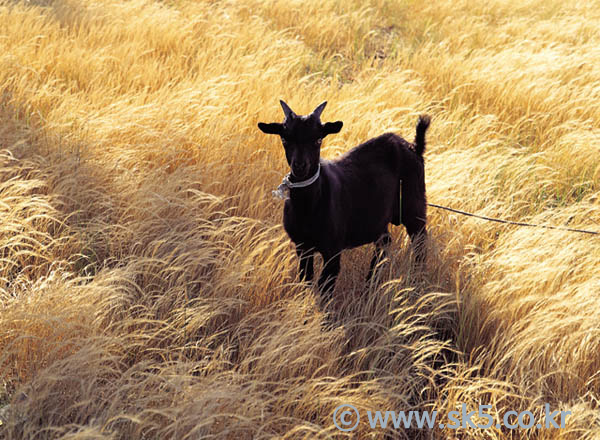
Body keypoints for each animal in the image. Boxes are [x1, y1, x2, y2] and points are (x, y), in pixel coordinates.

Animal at [258, 101, 432, 300]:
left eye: (318, 140)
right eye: (285, 139)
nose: (300, 166)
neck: (308, 206)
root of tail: (413, 147)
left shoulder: (333, 251)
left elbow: (324, 290)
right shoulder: (302, 246)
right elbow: (306, 280)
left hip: (414, 207)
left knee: (420, 243)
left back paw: (416, 283)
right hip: (378, 218)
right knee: (385, 242)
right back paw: (370, 286)